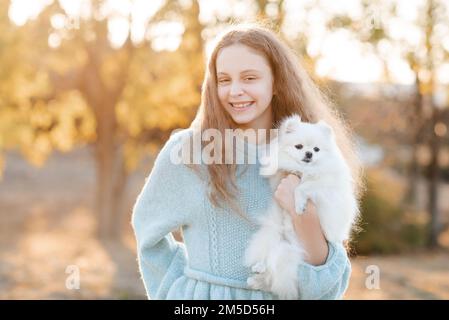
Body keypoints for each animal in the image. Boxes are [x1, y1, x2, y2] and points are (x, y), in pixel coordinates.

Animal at [243, 114, 358, 298]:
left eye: (317, 149)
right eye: (299, 146)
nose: (309, 153)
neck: (302, 169)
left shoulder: (323, 186)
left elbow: (302, 187)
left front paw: (298, 206)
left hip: (286, 251)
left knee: (273, 272)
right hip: (275, 236)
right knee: (269, 261)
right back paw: (258, 270)